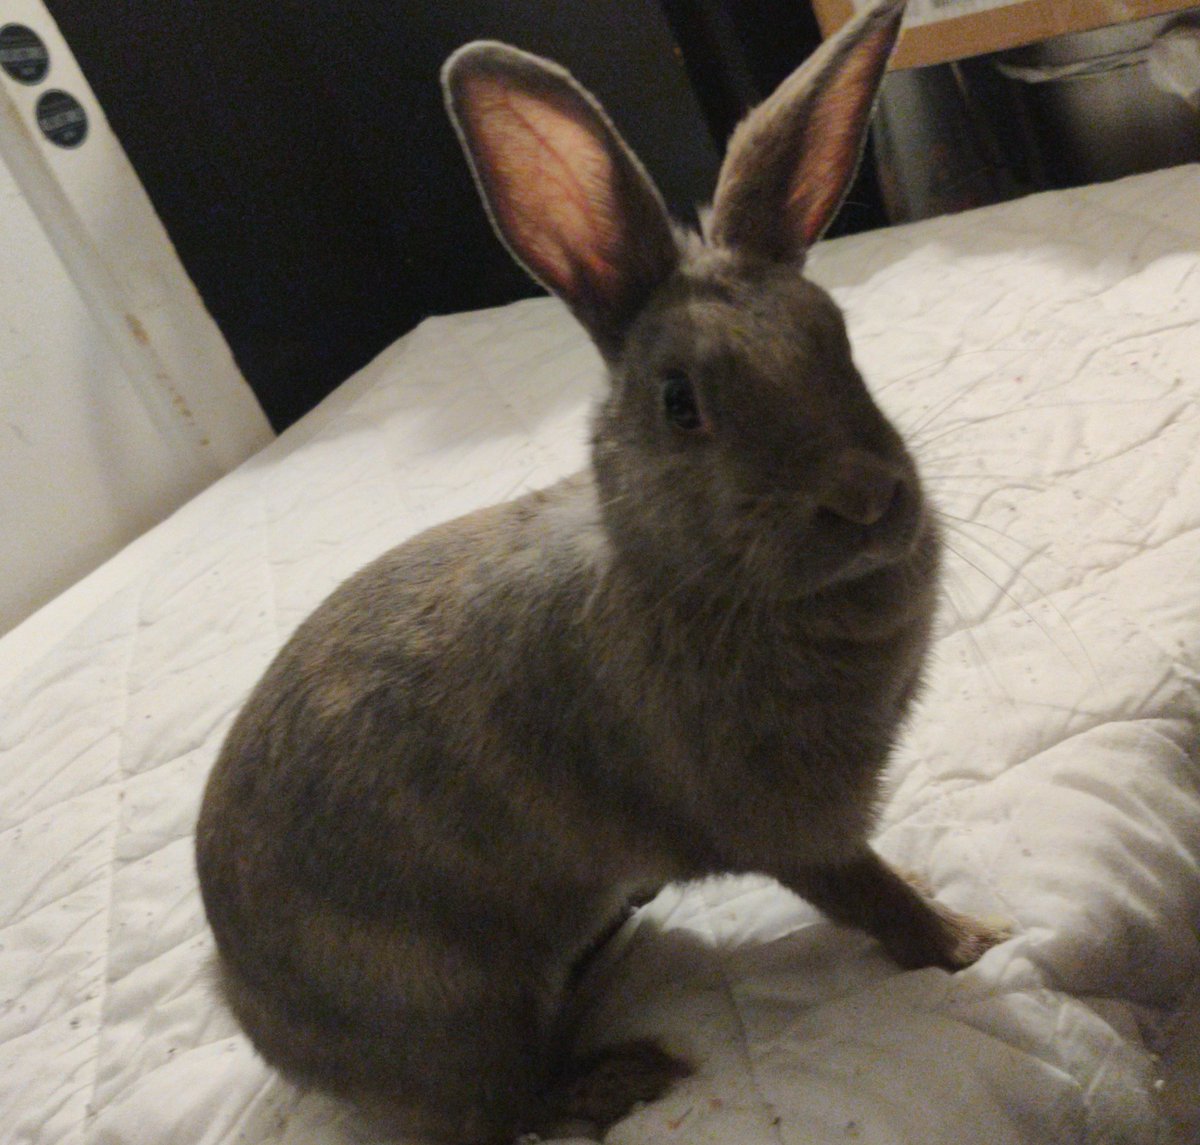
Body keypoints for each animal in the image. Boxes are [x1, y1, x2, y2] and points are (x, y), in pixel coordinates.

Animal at [195, 1, 1006, 1140]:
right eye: (680, 402)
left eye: (838, 340)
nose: (867, 499)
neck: (684, 571)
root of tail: (254, 1011)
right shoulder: (790, 824)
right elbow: (870, 893)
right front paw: (970, 940)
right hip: (460, 1003)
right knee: (496, 1108)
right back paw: (620, 1077)